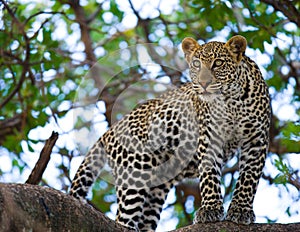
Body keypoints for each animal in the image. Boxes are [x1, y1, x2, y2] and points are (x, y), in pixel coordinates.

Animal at [71, 35, 272, 231]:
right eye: (196, 64)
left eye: (219, 63)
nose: (203, 83)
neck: (231, 101)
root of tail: (111, 130)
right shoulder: (209, 137)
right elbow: (210, 176)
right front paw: (210, 209)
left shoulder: (256, 139)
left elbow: (249, 178)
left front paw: (240, 210)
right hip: (133, 173)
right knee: (123, 217)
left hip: (156, 189)